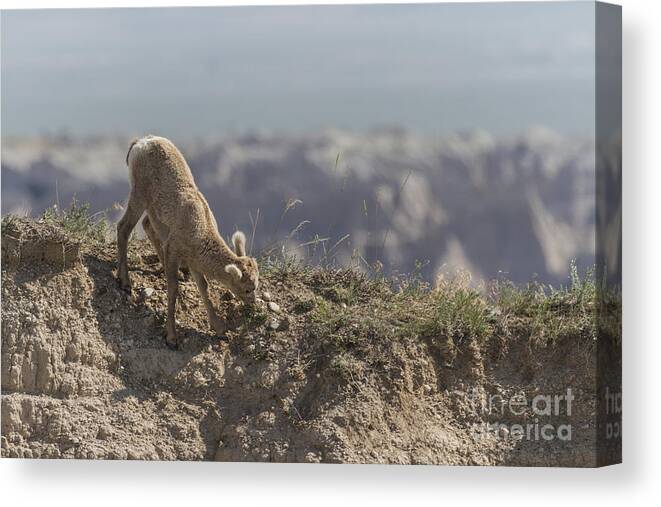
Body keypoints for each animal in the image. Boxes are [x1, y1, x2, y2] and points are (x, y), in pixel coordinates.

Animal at [117, 135, 256, 350]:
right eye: (248, 288)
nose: (253, 304)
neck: (201, 229)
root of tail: (142, 142)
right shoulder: (175, 250)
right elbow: (173, 290)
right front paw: (171, 338)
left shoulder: (194, 262)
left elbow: (204, 288)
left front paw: (219, 329)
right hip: (139, 195)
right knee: (124, 228)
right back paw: (125, 283)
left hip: (154, 210)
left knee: (147, 225)